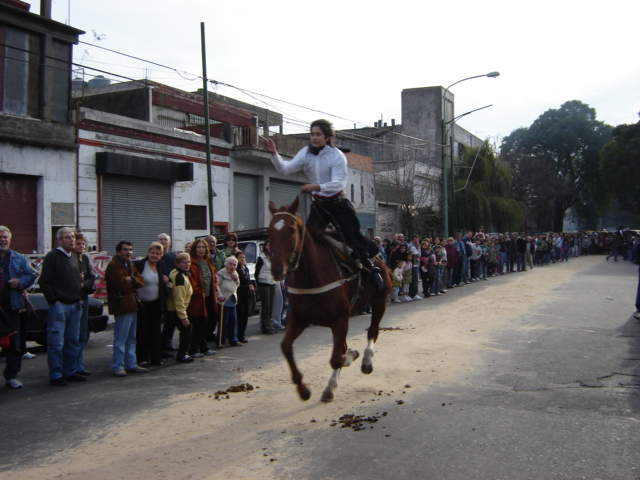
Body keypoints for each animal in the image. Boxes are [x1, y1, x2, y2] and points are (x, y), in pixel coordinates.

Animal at [264, 196, 390, 402]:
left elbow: (336, 358)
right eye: (269, 231)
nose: (277, 269)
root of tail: (379, 257)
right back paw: (331, 386)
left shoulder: (341, 318)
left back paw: (365, 361)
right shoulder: (299, 318)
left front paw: (352, 355)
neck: (312, 276)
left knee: (372, 332)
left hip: (379, 301)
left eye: (291, 230)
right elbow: (286, 347)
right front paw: (302, 388)